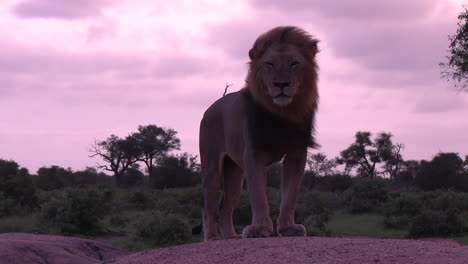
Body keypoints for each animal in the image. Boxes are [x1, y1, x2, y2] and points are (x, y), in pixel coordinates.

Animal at [199, 25, 320, 240]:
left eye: (295, 63)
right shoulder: (253, 153)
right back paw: (211, 239)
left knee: (225, 207)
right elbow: (258, 194)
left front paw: (288, 228)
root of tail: (210, 108)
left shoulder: (297, 153)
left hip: (235, 174)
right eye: (269, 64)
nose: (281, 84)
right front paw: (260, 229)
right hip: (212, 167)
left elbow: (290, 194)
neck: (283, 113)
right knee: (209, 207)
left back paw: (232, 237)